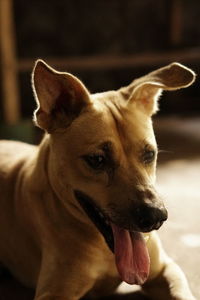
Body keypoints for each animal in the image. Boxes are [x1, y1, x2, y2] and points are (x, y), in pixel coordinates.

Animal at [0, 59, 196, 298]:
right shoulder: (54, 292)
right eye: (97, 159)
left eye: (149, 154)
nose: (156, 217)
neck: (104, 247)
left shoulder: (165, 269)